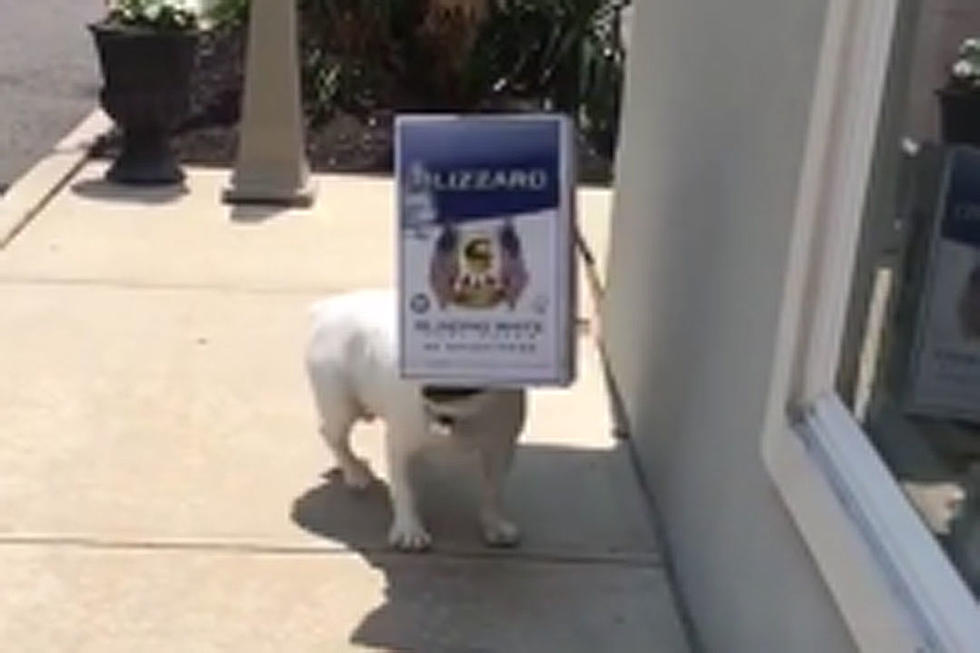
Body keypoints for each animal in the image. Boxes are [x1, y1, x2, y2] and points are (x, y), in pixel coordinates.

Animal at [304, 290, 524, 552]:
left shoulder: (500, 447)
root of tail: (326, 307)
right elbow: (404, 489)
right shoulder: (399, 447)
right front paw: (409, 529)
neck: (454, 411)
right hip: (340, 405)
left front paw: (495, 524)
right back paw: (354, 472)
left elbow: (494, 490)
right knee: (334, 435)